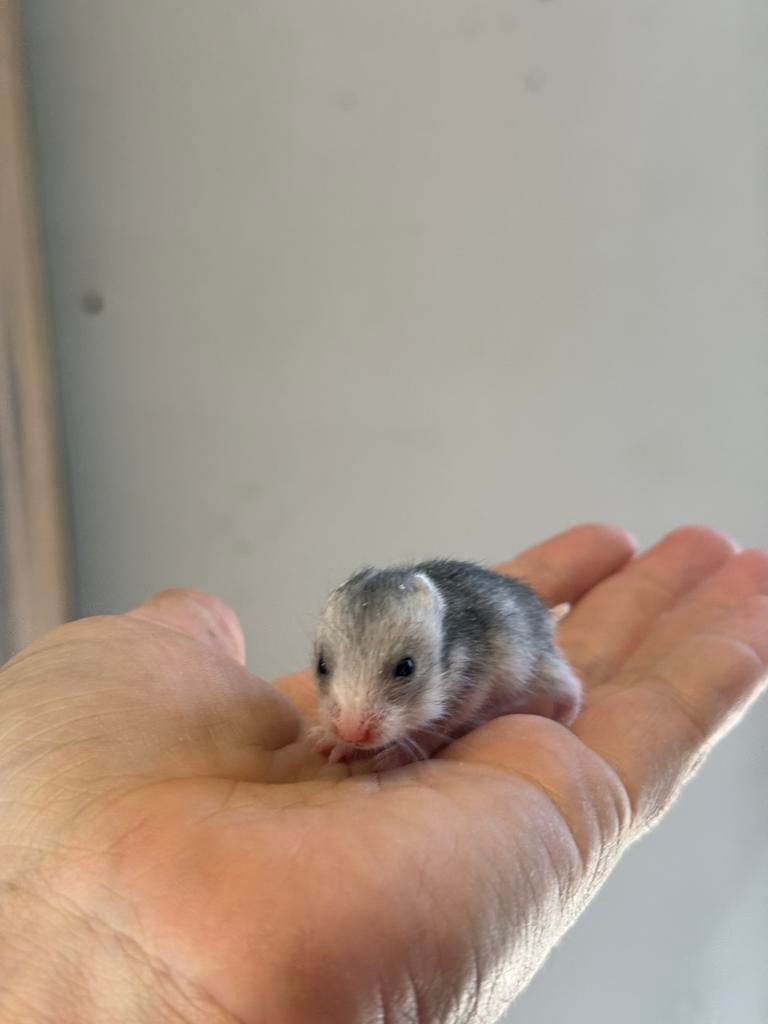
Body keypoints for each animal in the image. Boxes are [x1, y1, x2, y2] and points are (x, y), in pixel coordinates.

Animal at [310, 559, 582, 769]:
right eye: (321, 665)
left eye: (406, 667)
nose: (351, 734)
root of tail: (545, 614)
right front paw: (334, 744)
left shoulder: (469, 692)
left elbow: (436, 728)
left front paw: (392, 757)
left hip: (539, 664)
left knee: (571, 687)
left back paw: (566, 719)